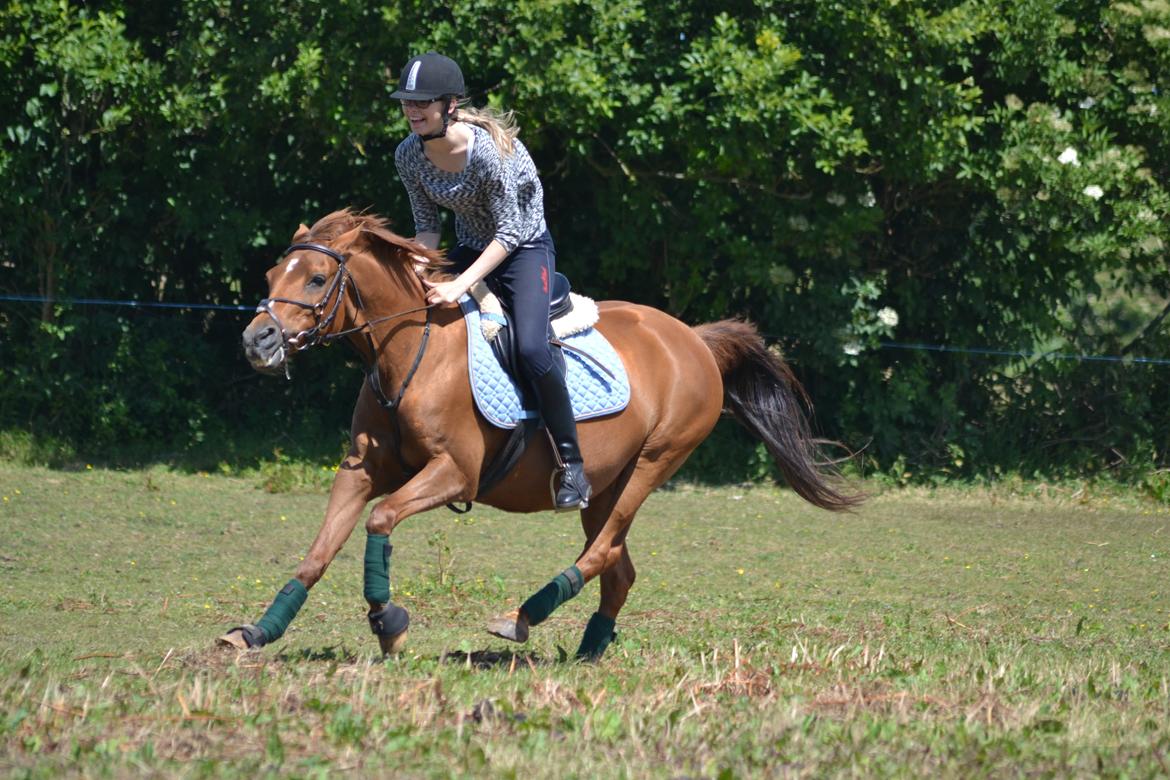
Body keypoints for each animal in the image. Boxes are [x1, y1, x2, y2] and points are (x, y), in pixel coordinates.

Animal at [219, 209, 861, 659]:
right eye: (273, 274)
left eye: (317, 278)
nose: (255, 341)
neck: (410, 353)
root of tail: (694, 339)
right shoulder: (360, 471)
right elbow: (318, 551)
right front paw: (258, 631)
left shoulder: (453, 474)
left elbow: (380, 520)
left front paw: (388, 623)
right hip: (604, 485)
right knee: (618, 568)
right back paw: (588, 649)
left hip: (653, 463)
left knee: (602, 553)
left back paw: (522, 616)